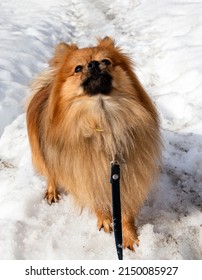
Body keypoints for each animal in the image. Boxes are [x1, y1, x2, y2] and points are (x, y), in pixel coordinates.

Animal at [26, 36, 162, 249]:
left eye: (106, 61)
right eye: (78, 68)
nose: (94, 64)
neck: (102, 116)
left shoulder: (127, 176)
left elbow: (126, 212)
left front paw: (128, 236)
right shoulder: (87, 174)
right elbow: (97, 201)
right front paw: (105, 220)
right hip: (43, 154)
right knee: (51, 173)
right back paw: (52, 191)